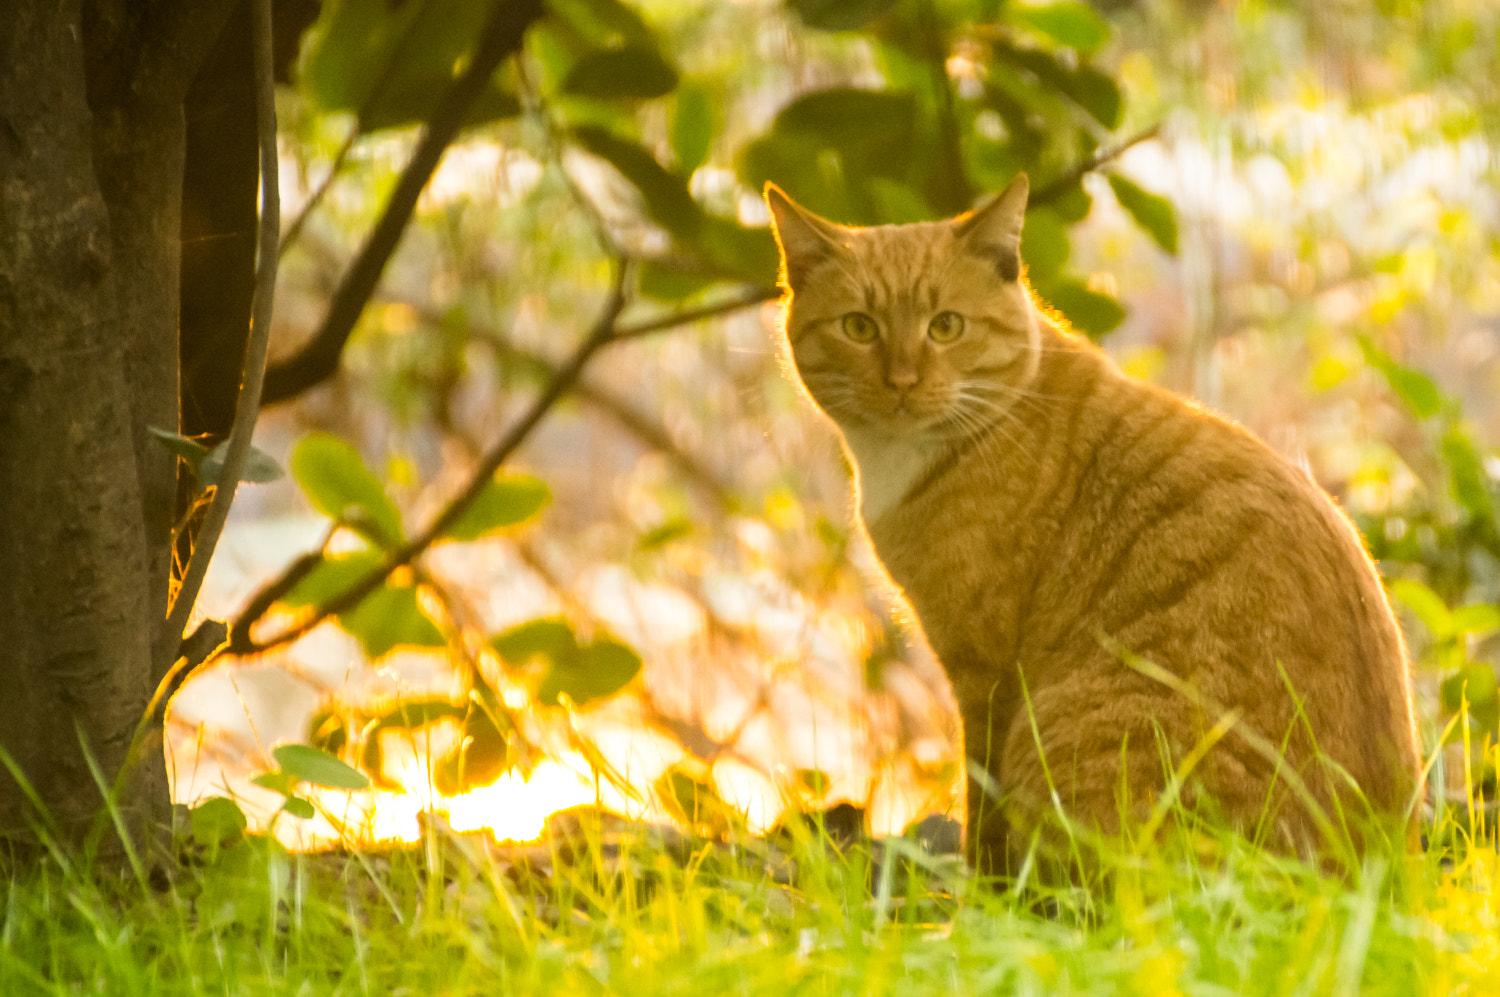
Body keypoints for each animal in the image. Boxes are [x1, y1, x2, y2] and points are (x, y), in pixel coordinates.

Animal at [768, 174, 1422, 869]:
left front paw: (978, 890)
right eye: (858, 327)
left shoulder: (985, 670)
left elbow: (983, 806)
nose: (902, 381)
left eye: (945, 326)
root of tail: (1371, 864)